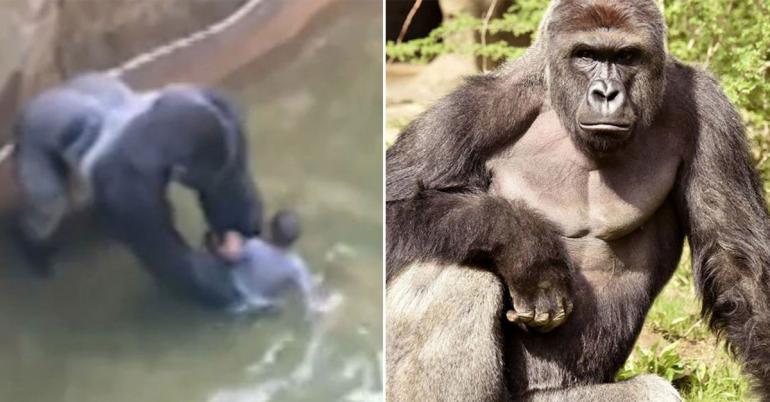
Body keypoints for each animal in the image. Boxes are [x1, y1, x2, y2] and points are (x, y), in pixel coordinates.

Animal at [12, 74, 276, 310]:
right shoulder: (126, 184)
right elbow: (166, 255)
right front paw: (233, 296)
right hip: (33, 135)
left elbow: (229, 192)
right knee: (48, 203)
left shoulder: (224, 116)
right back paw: (34, 251)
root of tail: (36, 101)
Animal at [388, 0, 768, 402]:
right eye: (585, 55)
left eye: (626, 56)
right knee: (457, 274)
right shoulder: (472, 110)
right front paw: (525, 245)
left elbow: (735, 263)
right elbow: (391, 207)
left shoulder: (709, 111)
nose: (606, 93)